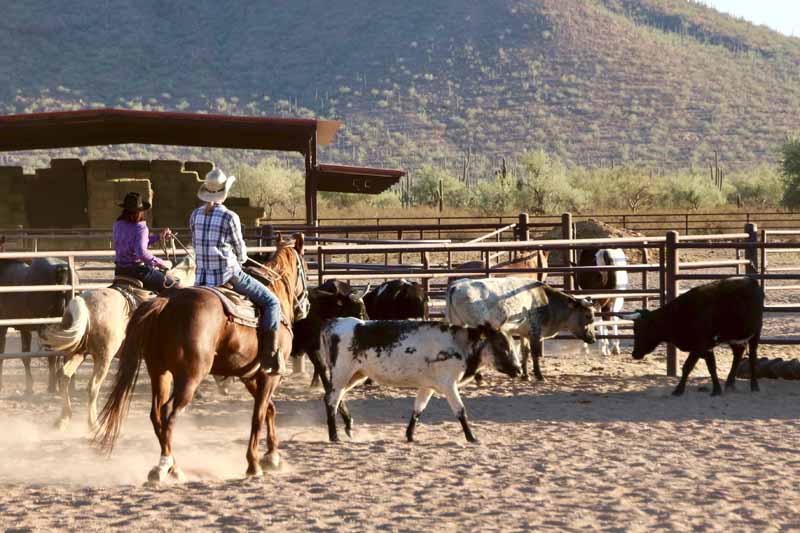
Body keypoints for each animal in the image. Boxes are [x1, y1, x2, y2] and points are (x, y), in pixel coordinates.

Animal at [92, 232, 308, 478]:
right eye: (305, 266)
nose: (306, 307)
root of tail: (166, 302)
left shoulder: (250, 375)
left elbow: (269, 409)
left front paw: (272, 457)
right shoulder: (270, 375)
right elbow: (258, 416)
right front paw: (254, 465)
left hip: (160, 372)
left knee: (156, 414)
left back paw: (172, 467)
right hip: (190, 377)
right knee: (169, 413)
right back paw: (165, 467)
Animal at [322, 318, 520, 442]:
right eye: (502, 345)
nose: (518, 369)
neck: (459, 344)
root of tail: (333, 324)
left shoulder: (428, 386)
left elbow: (418, 409)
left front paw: (410, 436)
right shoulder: (448, 385)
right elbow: (460, 411)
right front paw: (471, 437)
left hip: (355, 375)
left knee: (336, 398)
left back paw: (348, 427)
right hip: (341, 374)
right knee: (332, 400)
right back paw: (334, 436)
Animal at [624, 276, 764, 396]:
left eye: (642, 330)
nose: (635, 354)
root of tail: (751, 280)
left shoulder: (700, 346)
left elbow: (688, 367)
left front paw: (678, 390)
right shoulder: (706, 347)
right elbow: (711, 366)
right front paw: (716, 390)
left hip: (755, 333)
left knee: (752, 357)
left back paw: (754, 385)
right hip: (733, 337)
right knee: (738, 353)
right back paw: (730, 383)